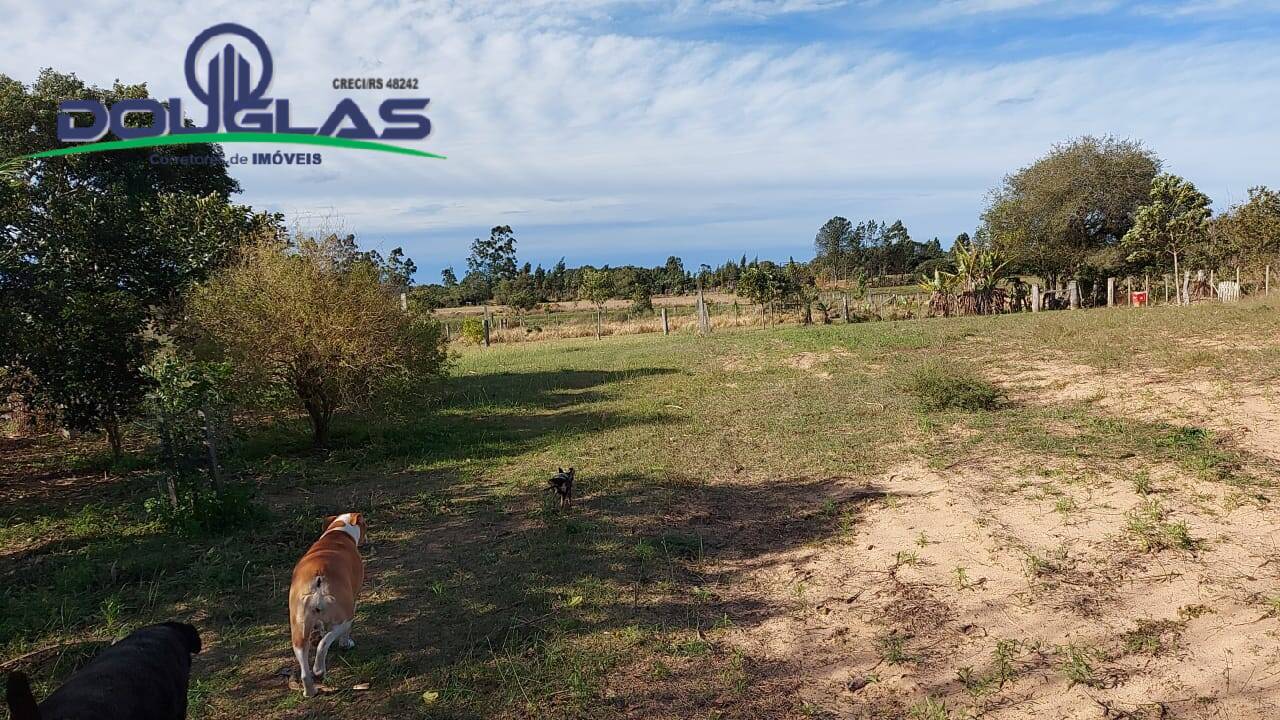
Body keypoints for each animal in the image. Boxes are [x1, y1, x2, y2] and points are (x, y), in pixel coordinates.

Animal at [289, 507, 368, 691]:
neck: (338, 533)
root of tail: (318, 579)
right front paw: (346, 644)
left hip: (298, 629)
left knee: (304, 661)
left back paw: (310, 690)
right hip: (345, 618)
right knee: (324, 644)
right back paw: (319, 669)